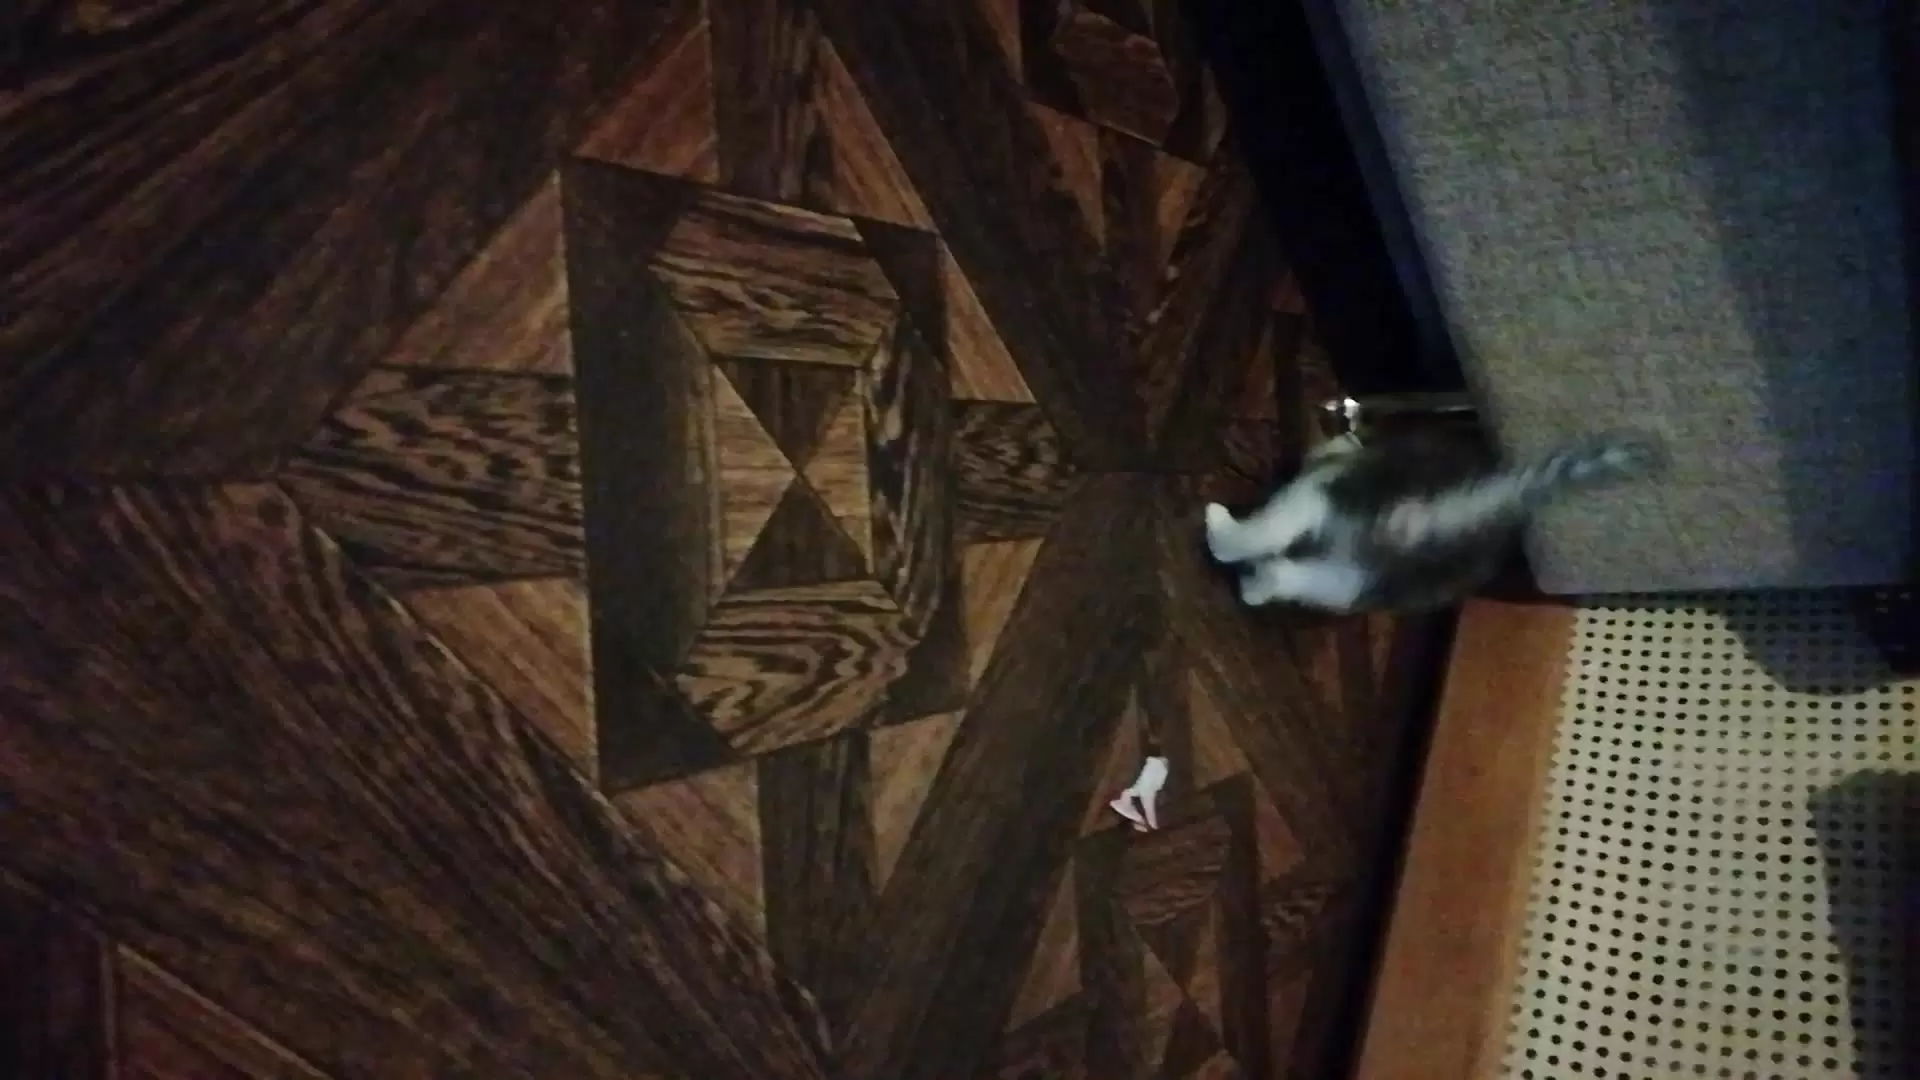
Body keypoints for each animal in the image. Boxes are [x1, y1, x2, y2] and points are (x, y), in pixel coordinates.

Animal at [1202, 429, 1660, 614]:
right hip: (1357, 583)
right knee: (1290, 575)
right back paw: (1256, 588)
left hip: (1321, 497)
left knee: (1269, 531)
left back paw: (1219, 526)